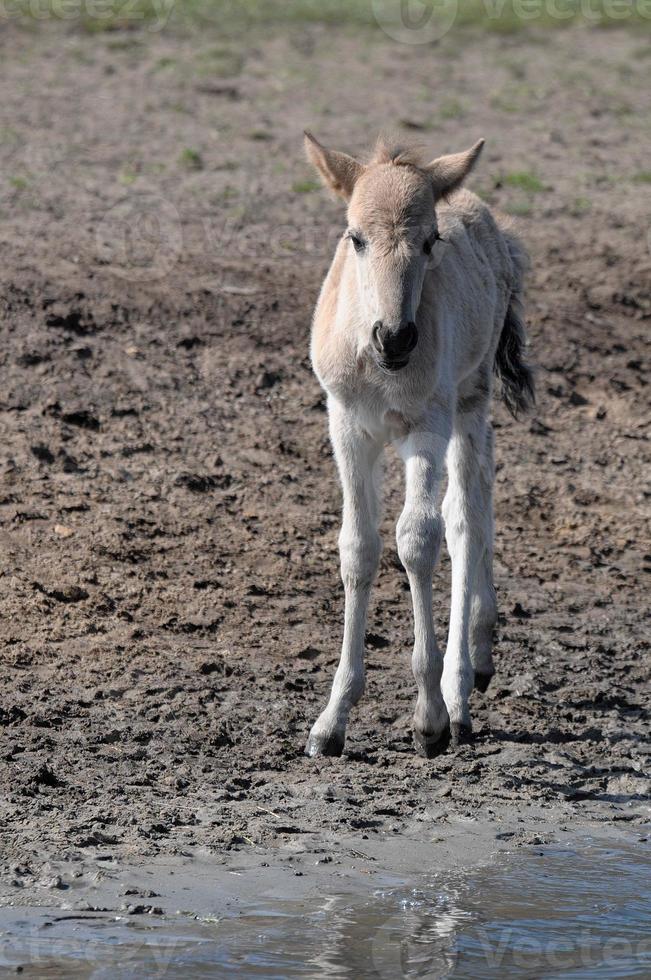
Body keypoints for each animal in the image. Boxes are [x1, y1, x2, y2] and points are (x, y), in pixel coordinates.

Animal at [304, 132, 532, 756]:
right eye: (355, 237)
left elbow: (418, 540)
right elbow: (358, 547)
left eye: (431, 240)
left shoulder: (426, 426)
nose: (396, 338)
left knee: (465, 516)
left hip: (468, 400)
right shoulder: (348, 427)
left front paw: (429, 717)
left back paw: (461, 688)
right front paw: (331, 721)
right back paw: (479, 657)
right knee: (478, 494)